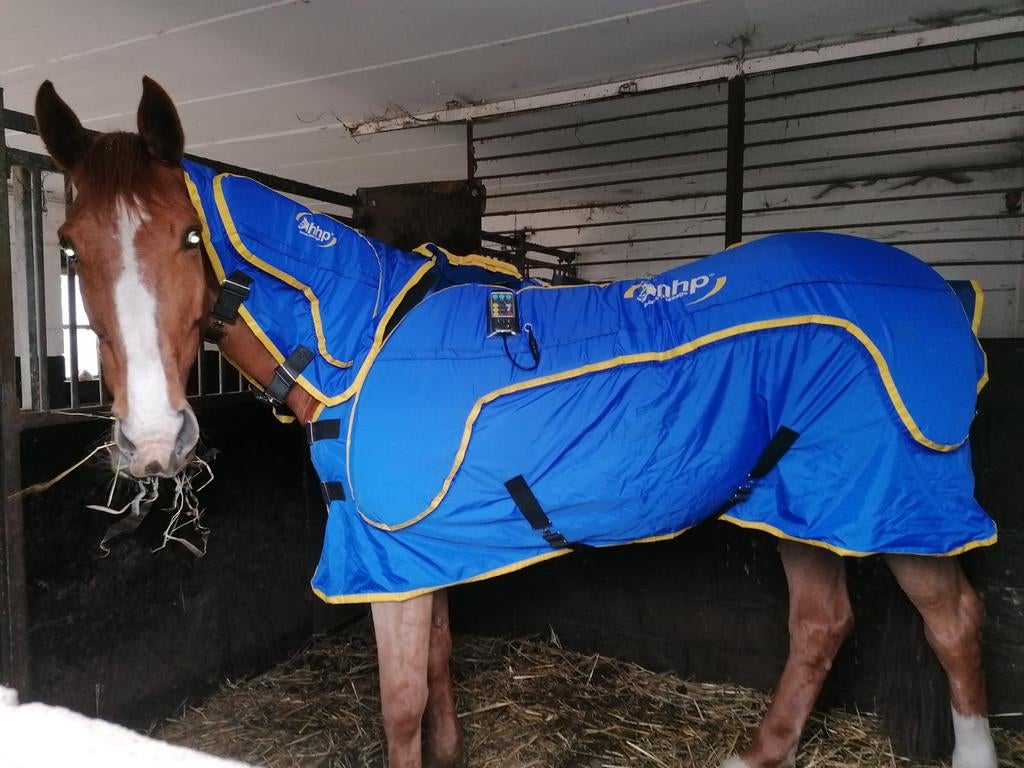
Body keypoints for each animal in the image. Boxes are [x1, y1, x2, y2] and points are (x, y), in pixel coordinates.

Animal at [33, 77, 999, 768]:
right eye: (71, 247)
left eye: (190, 237)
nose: (155, 441)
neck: (357, 333)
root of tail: (942, 290)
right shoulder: (419, 554)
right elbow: (438, 668)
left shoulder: (386, 553)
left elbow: (401, 703)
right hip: (801, 496)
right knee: (821, 625)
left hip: (898, 498)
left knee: (954, 622)